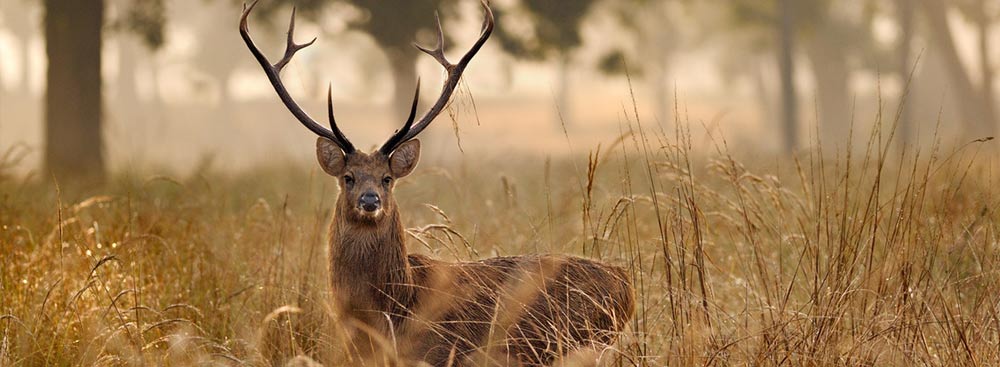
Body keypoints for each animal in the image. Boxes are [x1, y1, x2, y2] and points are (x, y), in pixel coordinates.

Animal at [239, 1, 632, 366]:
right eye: (347, 177)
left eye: (387, 178)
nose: (370, 200)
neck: (388, 314)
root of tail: (625, 284)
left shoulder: (441, 353)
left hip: (580, 344)